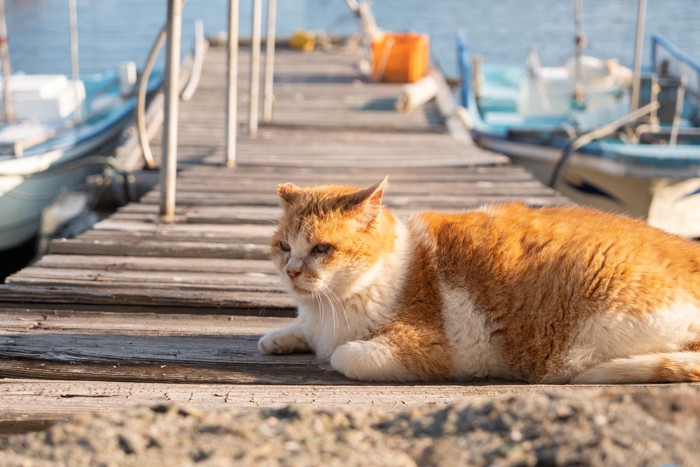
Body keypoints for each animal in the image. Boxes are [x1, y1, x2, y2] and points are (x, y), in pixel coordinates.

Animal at [258, 178, 700, 384]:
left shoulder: (432, 347)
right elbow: (293, 333)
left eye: (321, 249)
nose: (292, 271)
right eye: (284, 246)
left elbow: (343, 354)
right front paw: (282, 337)